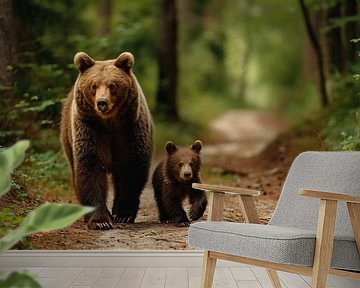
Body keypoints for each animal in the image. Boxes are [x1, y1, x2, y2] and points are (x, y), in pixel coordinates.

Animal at [60, 51, 153, 231]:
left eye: (112, 85)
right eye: (93, 85)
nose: (101, 103)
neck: (109, 123)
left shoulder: (130, 129)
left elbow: (132, 169)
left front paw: (123, 214)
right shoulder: (90, 129)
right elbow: (90, 168)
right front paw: (101, 221)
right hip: (67, 135)